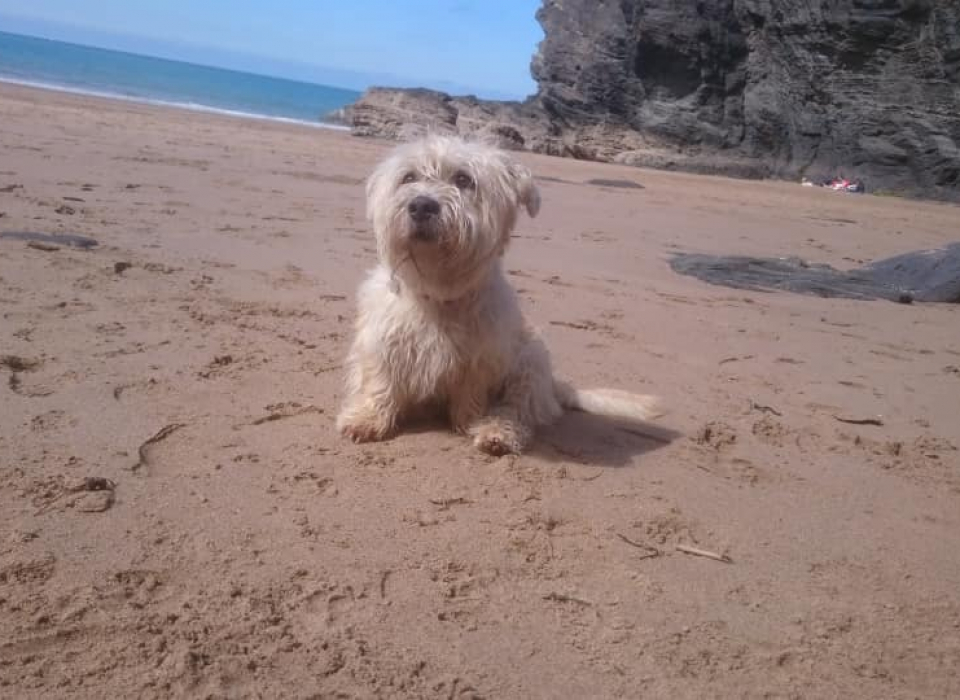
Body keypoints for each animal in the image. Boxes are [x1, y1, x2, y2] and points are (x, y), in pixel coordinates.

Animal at [336, 135, 660, 456]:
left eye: (463, 179)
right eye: (409, 177)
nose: (421, 206)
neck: (439, 291)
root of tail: (554, 387)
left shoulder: (482, 358)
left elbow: (473, 395)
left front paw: (468, 422)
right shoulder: (381, 343)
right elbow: (379, 384)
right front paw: (366, 419)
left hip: (530, 360)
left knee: (515, 409)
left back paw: (497, 432)